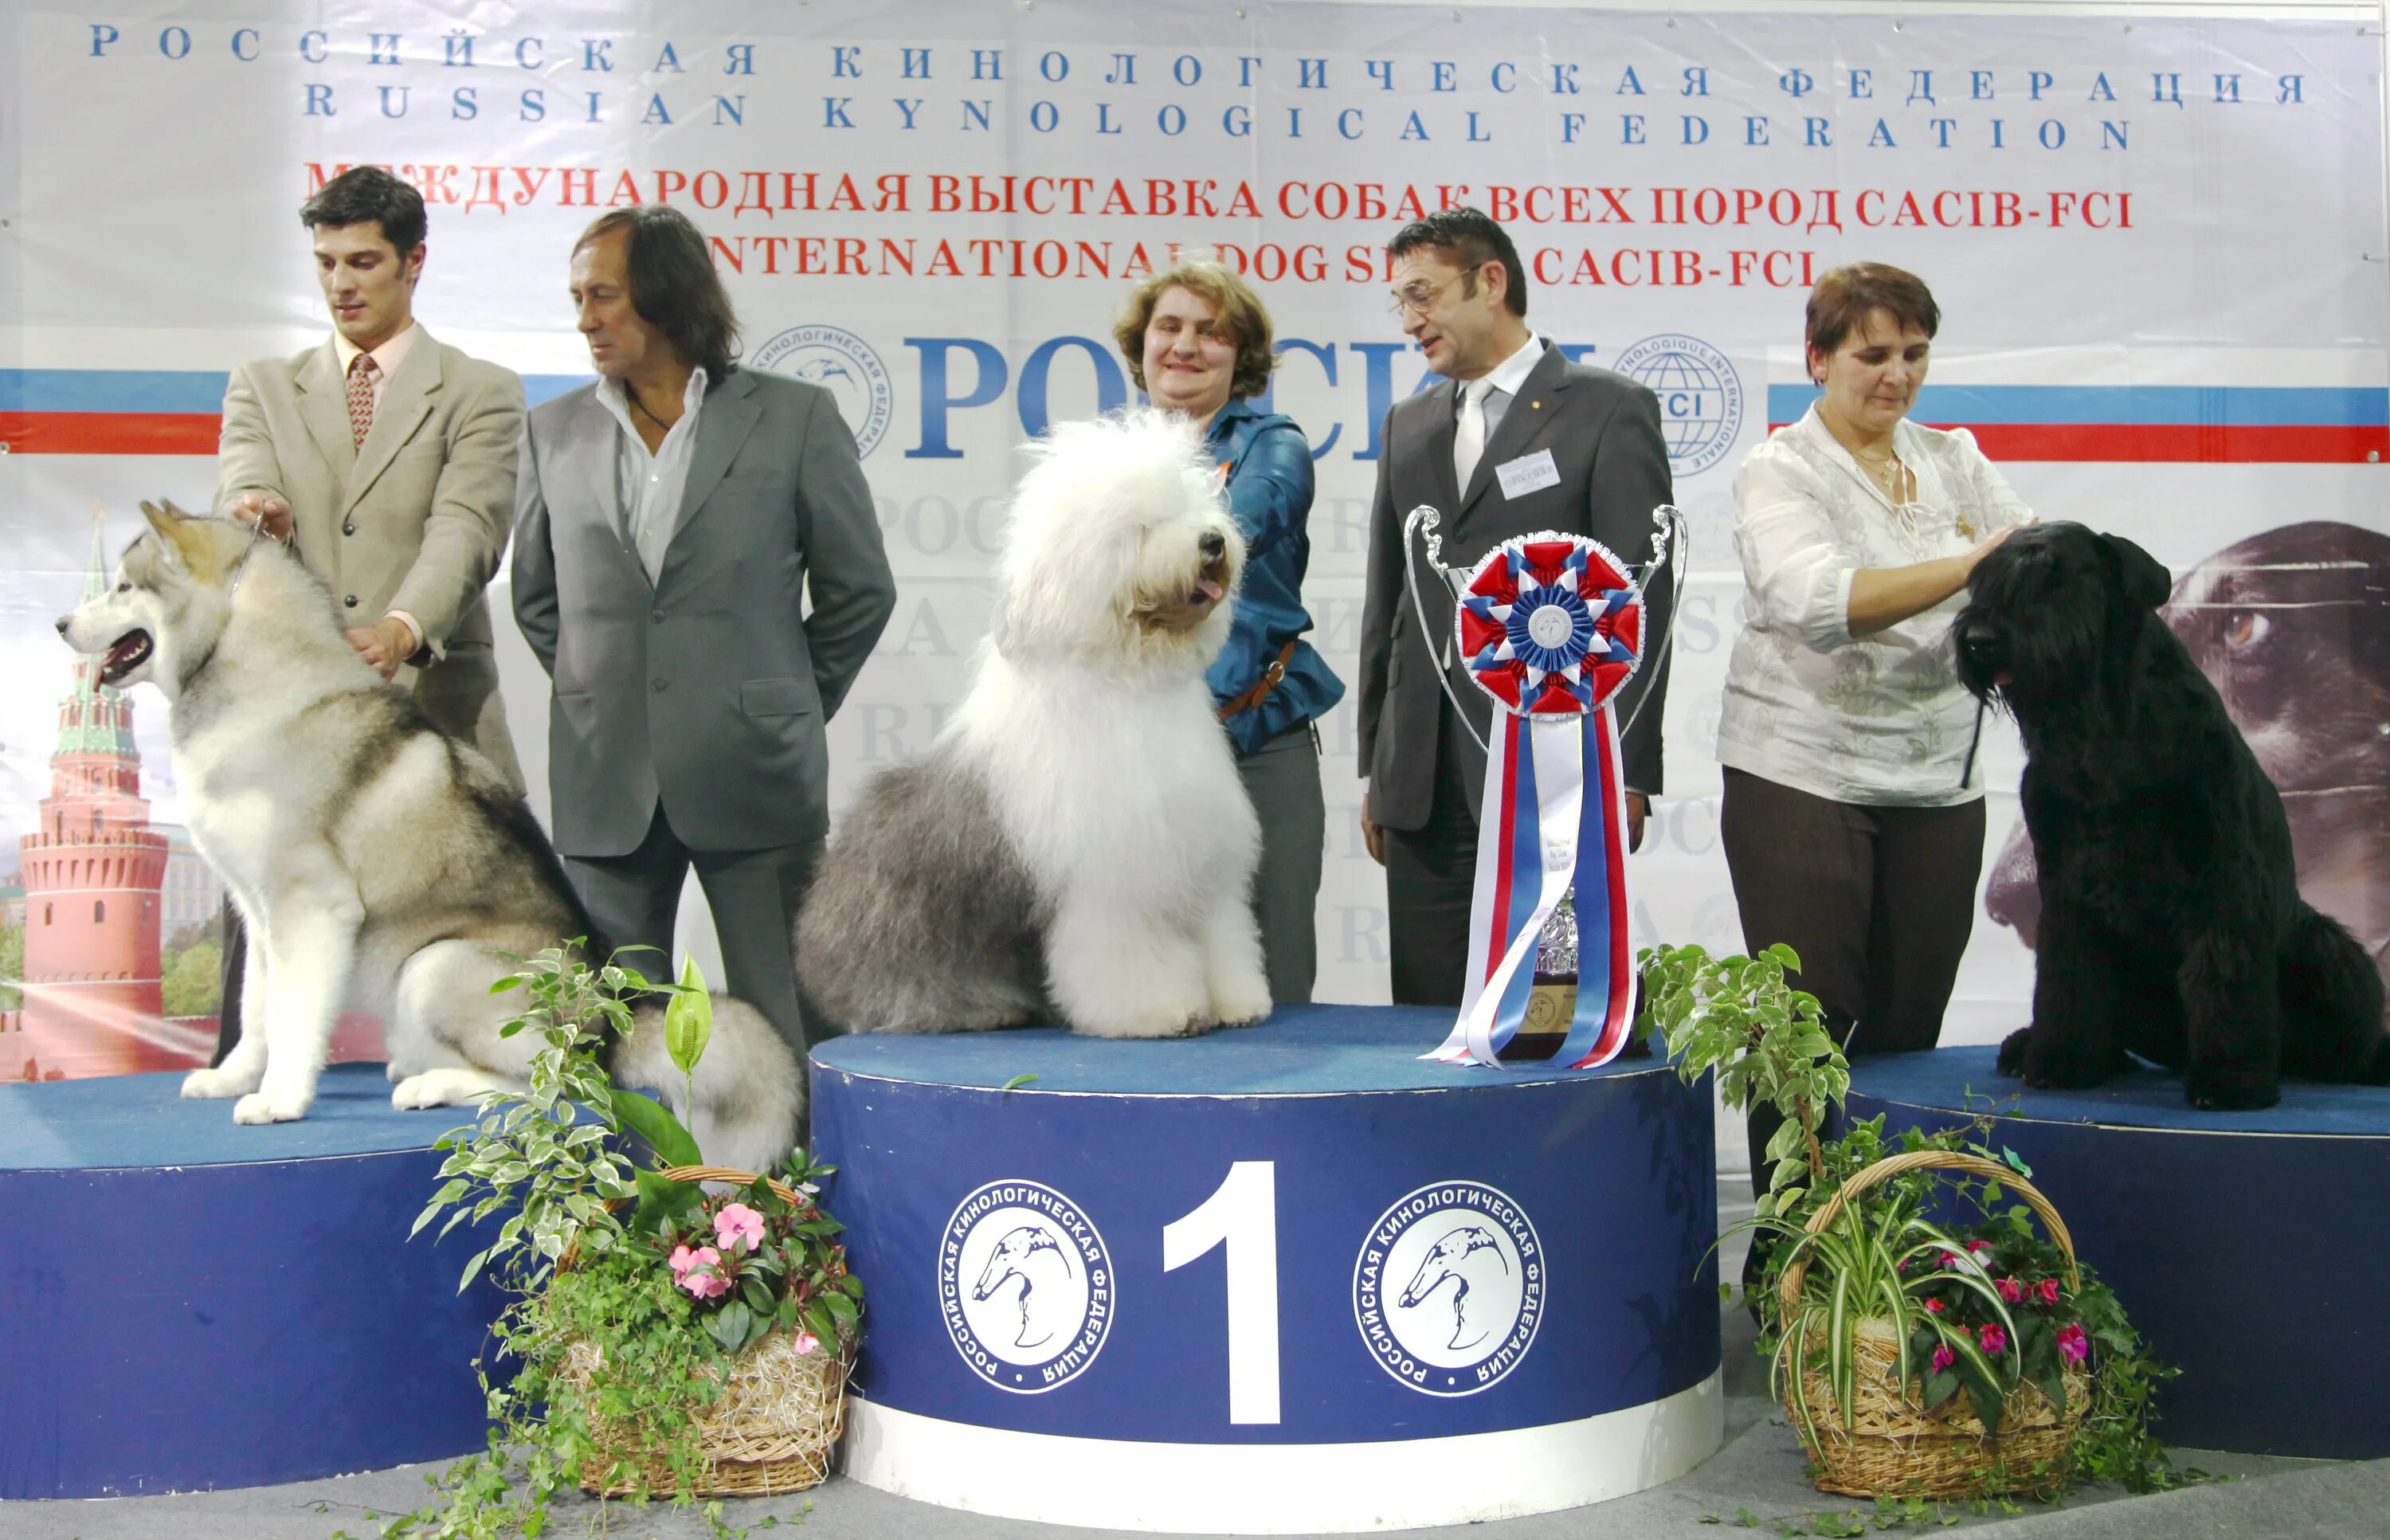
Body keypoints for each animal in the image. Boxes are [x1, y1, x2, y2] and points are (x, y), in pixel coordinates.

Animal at [53, 504, 803, 1166]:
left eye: (126, 586)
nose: (60, 622)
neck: (268, 690)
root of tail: (610, 1016)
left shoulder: (310, 907)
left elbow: (293, 1017)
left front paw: (281, 1099)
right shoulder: (260, 913)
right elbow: (256, 1010)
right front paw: (235, 1077)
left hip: (432, 965)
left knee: (559, 1087)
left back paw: (430, 1083)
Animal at [798, 409, 1281, 1033]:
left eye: (1193, 506)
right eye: (1142, 527)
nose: (1213, 541)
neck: (1130, 681)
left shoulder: (1201, 859)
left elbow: (1223, 934)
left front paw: (1237, 1001)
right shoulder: (1114, 875)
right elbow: (1128, 947)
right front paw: (1161, 1010)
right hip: (906, 936)